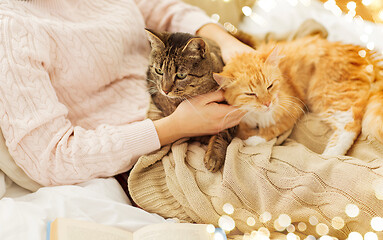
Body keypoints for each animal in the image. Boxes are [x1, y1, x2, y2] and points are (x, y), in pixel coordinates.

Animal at [214, 35, 383, 156]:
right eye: (250, 93)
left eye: (270, 86)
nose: (268, 103)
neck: (257, 115)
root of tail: (363, 55)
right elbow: (242, 131)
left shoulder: (293, 108)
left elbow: (273, 129)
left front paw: (254, 140)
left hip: (325, 93)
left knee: (350, 126)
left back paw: (328, 156)